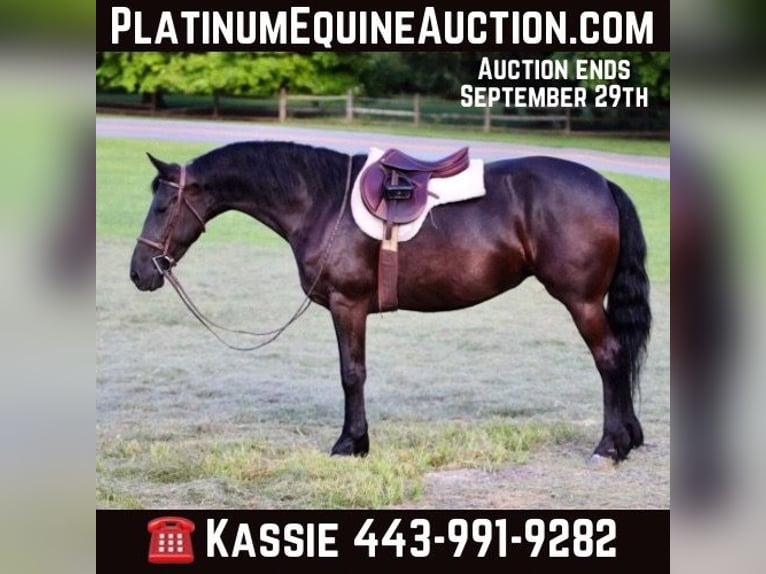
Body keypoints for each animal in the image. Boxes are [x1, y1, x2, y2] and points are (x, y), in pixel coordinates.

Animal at [129, 141, 651, 463]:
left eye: (162, 206)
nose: (139, 272)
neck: (321, 201)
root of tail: (604, 184)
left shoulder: (348, 306)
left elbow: (351, 374)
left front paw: (350, 443)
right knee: (620, 356)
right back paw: (629, 439)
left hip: (581, 301)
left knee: (609, 358)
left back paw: (609, 447)